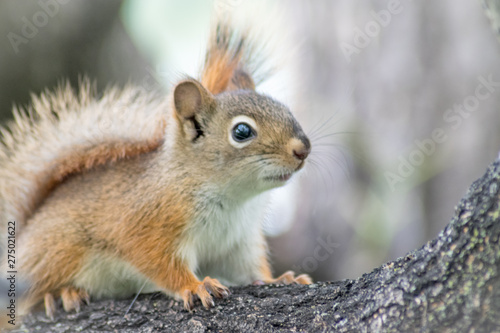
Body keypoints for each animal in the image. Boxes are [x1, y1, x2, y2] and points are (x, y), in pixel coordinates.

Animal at [0, 18, 312, 320]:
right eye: (242, 131)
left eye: (285, 109)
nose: (303, 149)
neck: (234, 197)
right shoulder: (150, 222)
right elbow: (159, 262)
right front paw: (196, 286)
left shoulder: (239, 242)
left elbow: (248, 269)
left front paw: (278, 279)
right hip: (56, 252)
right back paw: (59, 294)